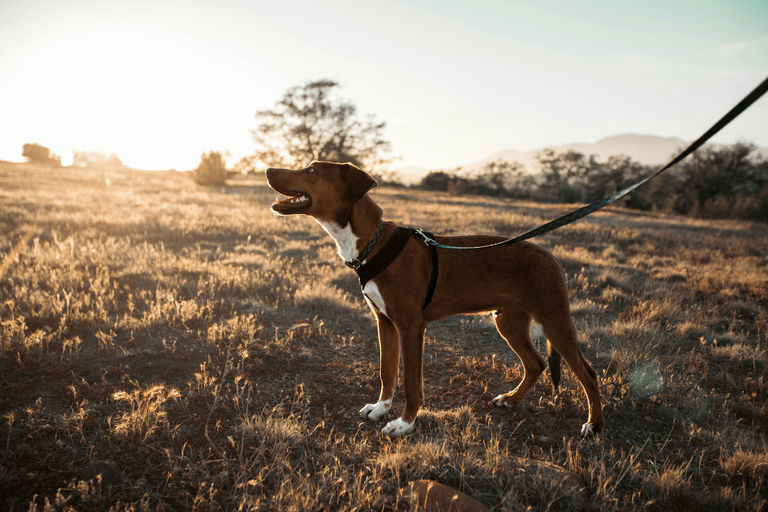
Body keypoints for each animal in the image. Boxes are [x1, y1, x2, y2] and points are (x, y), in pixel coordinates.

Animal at [268, 160, 604, 436]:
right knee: (536, 364)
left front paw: (405, 423)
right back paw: (511, 399)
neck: (372, 244)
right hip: (509, 322)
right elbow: (387, 372)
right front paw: (380, 409)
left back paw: (594, 425)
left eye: (311, 170)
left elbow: (411, 382)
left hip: (554, 320)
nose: (268, 170)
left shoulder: (411, 326)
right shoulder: (385, 323)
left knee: (588, 373)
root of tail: (551, 257)